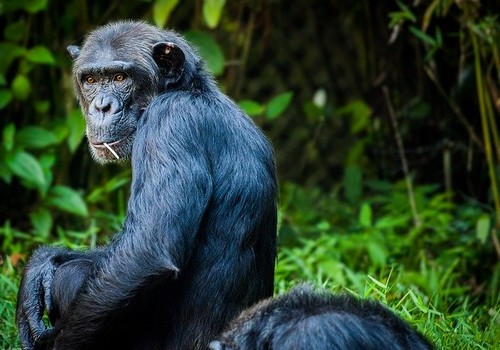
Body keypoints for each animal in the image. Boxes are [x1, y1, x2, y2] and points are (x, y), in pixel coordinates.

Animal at [15, 21, 278, 350]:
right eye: (91, 80)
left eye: (120, 78)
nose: (102, 106)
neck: (188, 90)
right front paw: (39, 266)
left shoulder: (168, 124)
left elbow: (145, 251)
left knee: (72, 277)